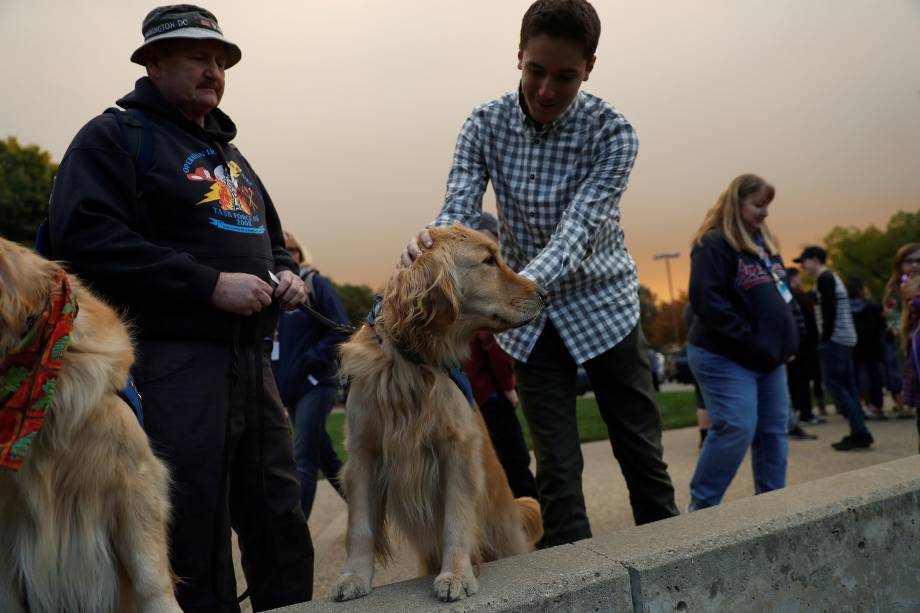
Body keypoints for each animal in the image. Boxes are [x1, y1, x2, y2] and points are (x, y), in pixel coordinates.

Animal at [332, 225, 544, 604]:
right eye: (489, 260)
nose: (545, 294)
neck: (409, 362)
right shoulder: (363, 453)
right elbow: (359, 527)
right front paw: (353, 576)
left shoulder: (456, 449)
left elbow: (455, 520)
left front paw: (456, 574)